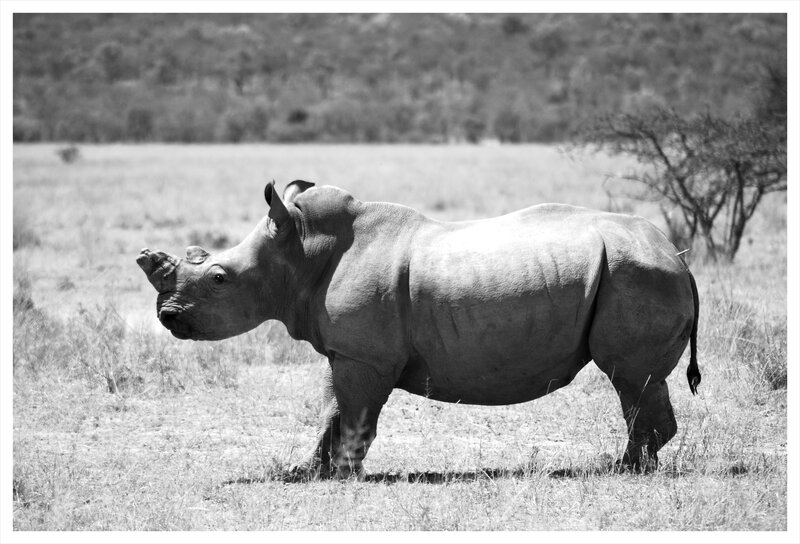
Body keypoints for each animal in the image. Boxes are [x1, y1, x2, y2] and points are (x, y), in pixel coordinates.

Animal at [137, 180, 700, 477]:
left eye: (218, 278)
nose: (168, 317)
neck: (299, 252)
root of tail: (680, 259)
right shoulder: (347, 351)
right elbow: (333, 411)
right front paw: (309, 473)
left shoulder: (364, 356)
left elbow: (356, 415)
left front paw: (346, 474)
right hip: (637, 272)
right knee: (639, 382)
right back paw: (630, 466)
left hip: (637, 274)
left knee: (630, 377)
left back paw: (623, 470)